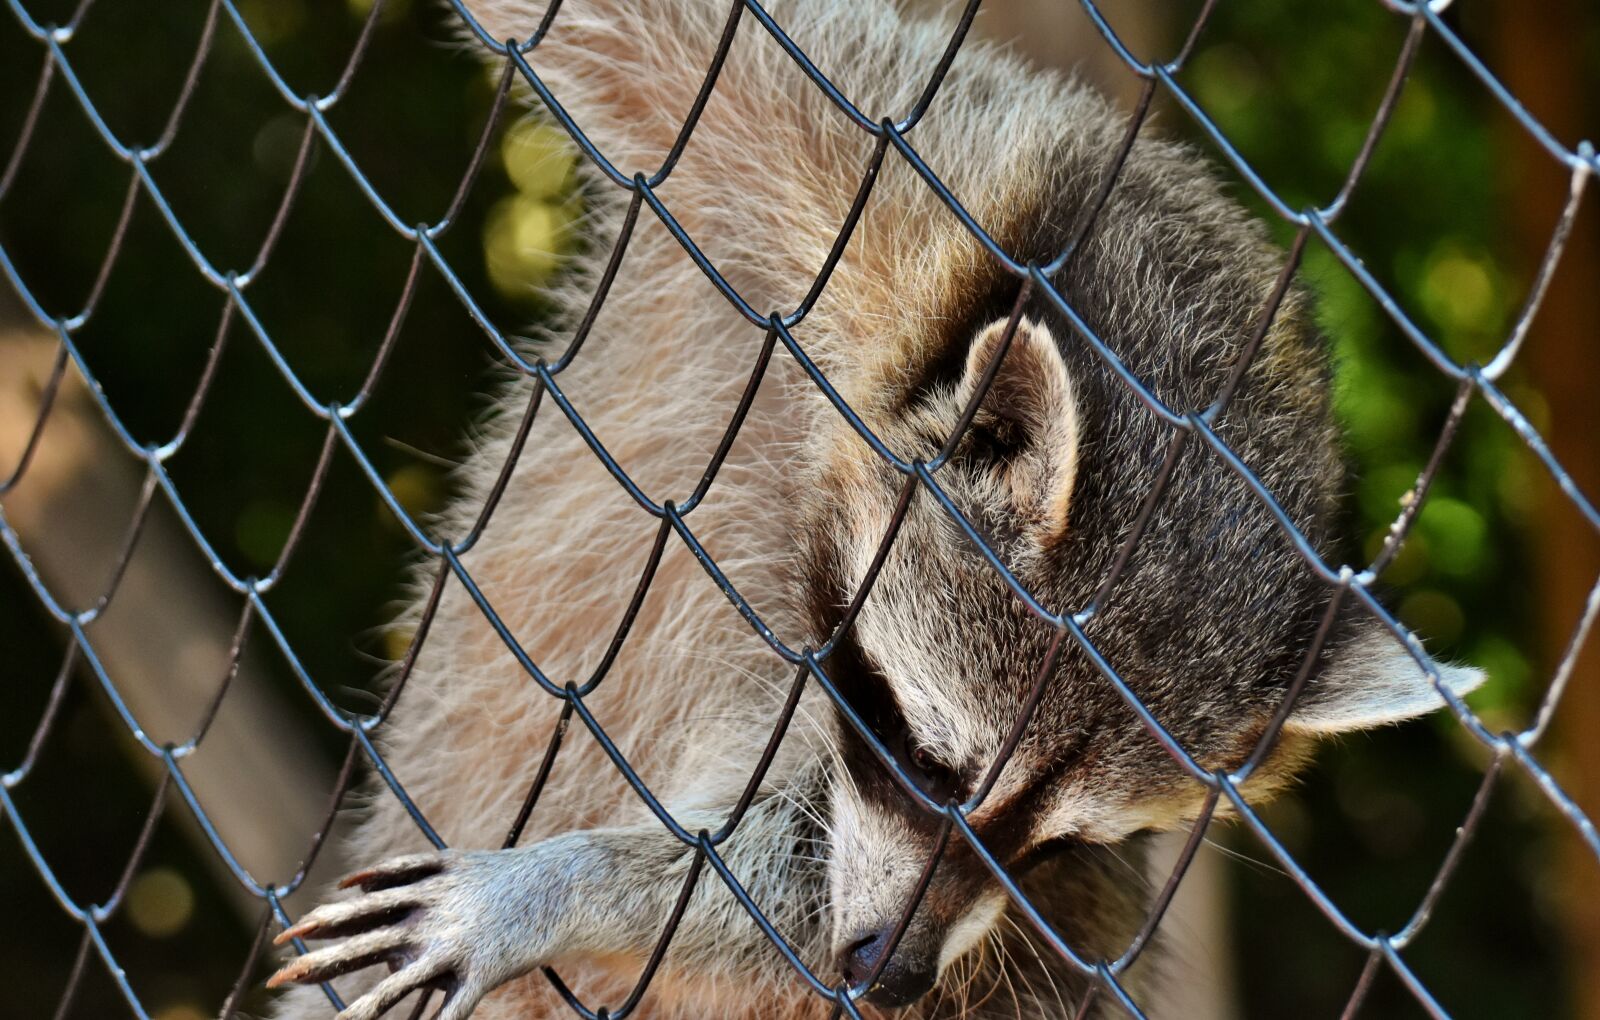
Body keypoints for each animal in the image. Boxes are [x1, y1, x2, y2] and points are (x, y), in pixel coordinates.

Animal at [266, 0, 1483, 1017]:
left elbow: (775, 892)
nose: (892, 979)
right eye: (929, 764)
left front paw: (573, 885)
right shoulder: (881, 159)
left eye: (1061, 848)